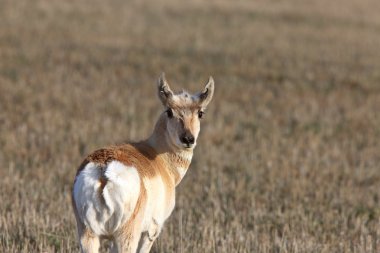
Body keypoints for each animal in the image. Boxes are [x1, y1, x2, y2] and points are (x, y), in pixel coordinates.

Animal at [71, 74, 214, 252]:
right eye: (169, 111)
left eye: (200, 113)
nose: (188, 139)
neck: (157, 155)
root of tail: (104, 170)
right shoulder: (151, 232)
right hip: (126, 236)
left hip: (88, 236)